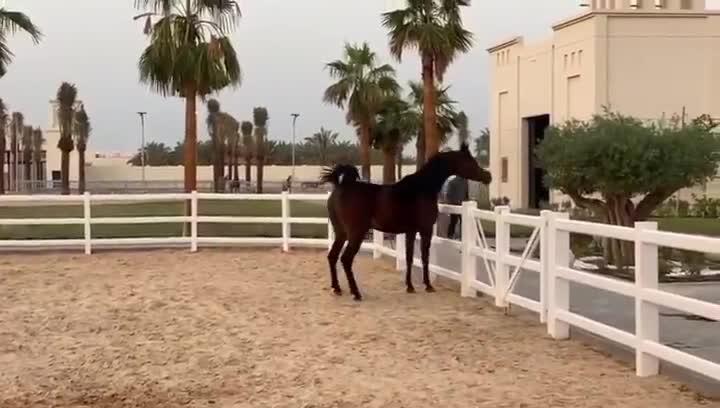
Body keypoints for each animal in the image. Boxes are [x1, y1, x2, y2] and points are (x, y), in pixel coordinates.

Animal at [324, 143, 492, 300]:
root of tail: (341, 187)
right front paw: (428, 285)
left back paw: (336, 289)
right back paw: (356, 293)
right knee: (346, 259)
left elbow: (410, 257)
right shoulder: (425, 230)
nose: (488, 176)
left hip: (341, 233)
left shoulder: (410, 231)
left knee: (332, 256)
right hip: (356, 233)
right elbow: (424, 257)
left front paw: (410, 286)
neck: (422, 188)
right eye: (470, 161)